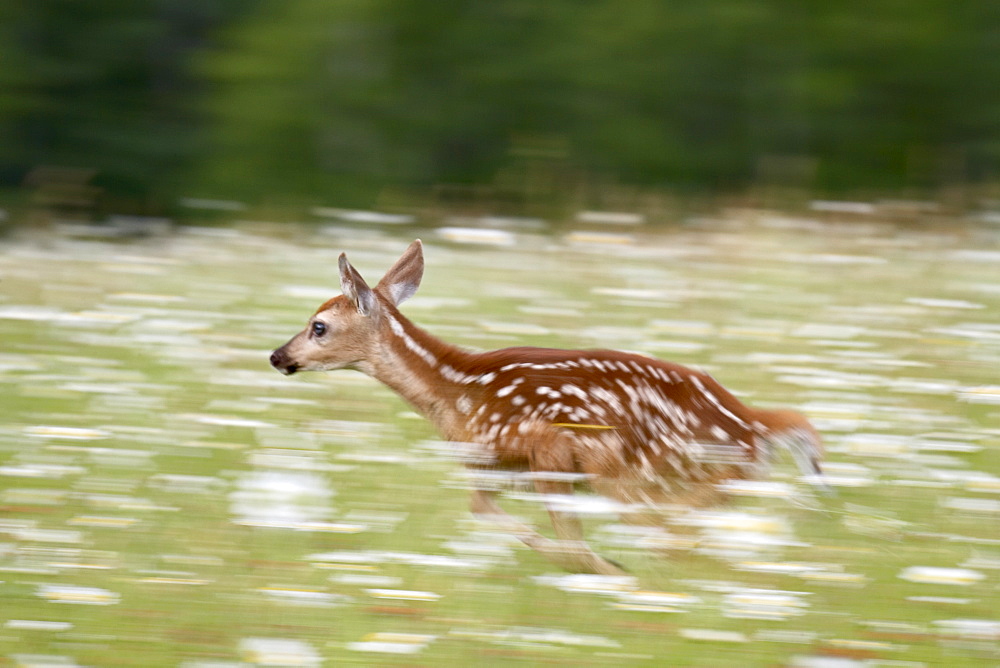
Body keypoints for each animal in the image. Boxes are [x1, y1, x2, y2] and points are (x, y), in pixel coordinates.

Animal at [272, 240, 828, 576]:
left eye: (318, 326)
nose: (278, 356)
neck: (456, 392)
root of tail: (757, 426)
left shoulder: (550, 449)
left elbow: (569, 539)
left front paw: (605, 571)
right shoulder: (494, 467)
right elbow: (482, 508)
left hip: (644, 477)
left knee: (678, 538)